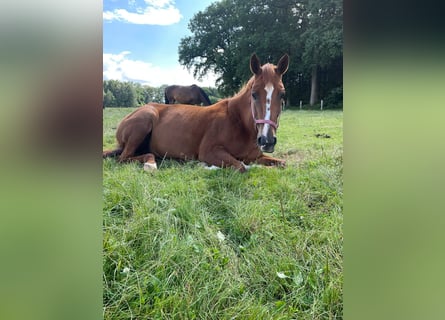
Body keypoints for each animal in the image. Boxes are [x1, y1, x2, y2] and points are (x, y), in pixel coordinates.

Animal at [104, 53, 292, 172]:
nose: (267, 141)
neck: (238, 122)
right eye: (254, 94)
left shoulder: (256, 156)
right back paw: (150, 165)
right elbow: (240, 166)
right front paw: (205, 166)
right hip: (145, 119)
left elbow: (282, 163)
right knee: (124, 158)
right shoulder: (209, 152)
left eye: (282, 94)